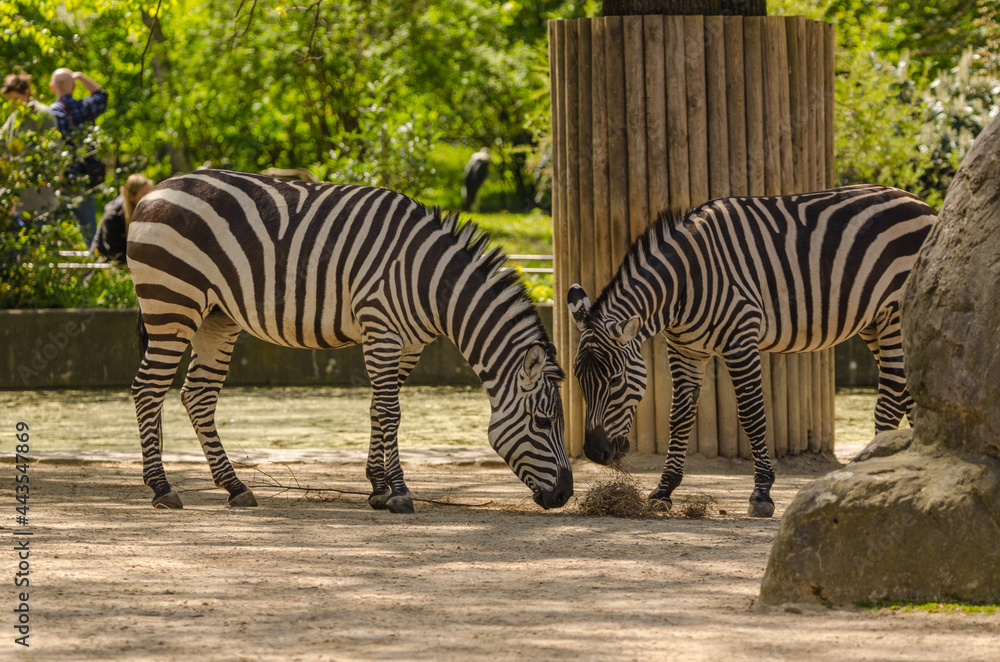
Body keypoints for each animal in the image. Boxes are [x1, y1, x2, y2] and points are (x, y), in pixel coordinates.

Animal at [126, 169, 573, 514]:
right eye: (543, 421)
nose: (566, 495)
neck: (429, 281)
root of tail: (158, 188)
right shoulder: (382, 330)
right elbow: (391, 412)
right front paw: (400, 493)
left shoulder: (409, 345)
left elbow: (378, 409)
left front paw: (378, 488)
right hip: (172, 303)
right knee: (148, 389)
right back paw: (162, 488)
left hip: (217, 317)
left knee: (198, 395)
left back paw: (235, 487)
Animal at [566, 184, 937, 517]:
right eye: (579, 380)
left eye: (615, 380)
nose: (595, 453)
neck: (683, 284)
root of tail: (922, 204)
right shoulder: (685, 349)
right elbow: (679, 417)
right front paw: (664, 490)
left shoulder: (740, 339)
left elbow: (751, 414)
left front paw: (762, 493)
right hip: (873, 323)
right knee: (909, 396)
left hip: (894, 315)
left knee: (890, 402)